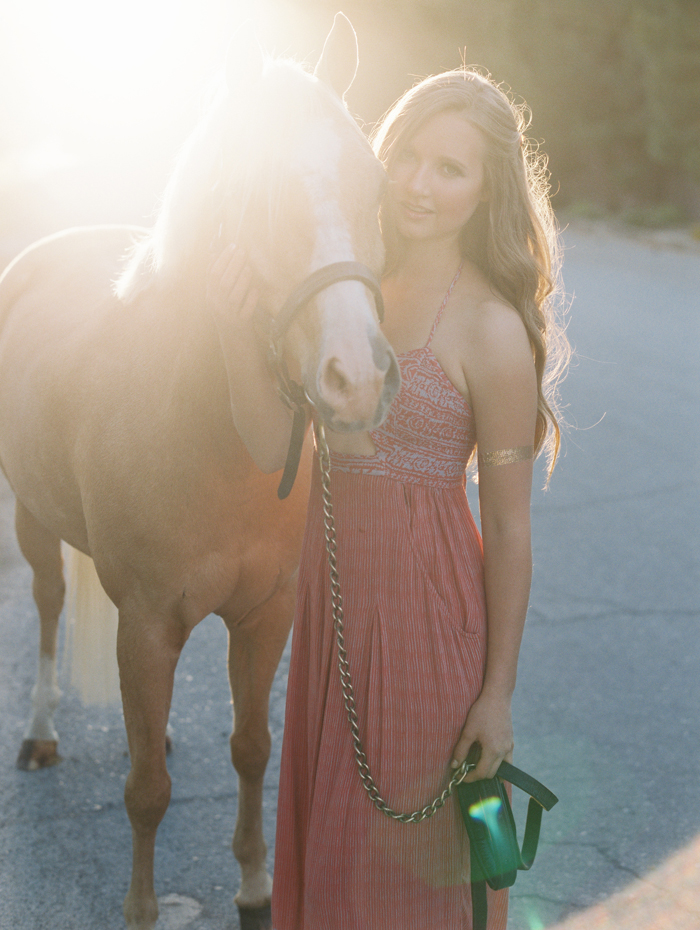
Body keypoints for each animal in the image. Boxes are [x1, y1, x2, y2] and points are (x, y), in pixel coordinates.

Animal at [0, 14, 396, 928]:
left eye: (373, 185)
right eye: (261, 193)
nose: (356, 378)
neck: (203, 432)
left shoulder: (266, 614)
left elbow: (252, 748)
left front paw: (254, 886)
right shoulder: (147, 624)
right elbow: (146, 792)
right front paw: (142, 909)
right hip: (32, 519)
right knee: (48, 604)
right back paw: (40, 730)